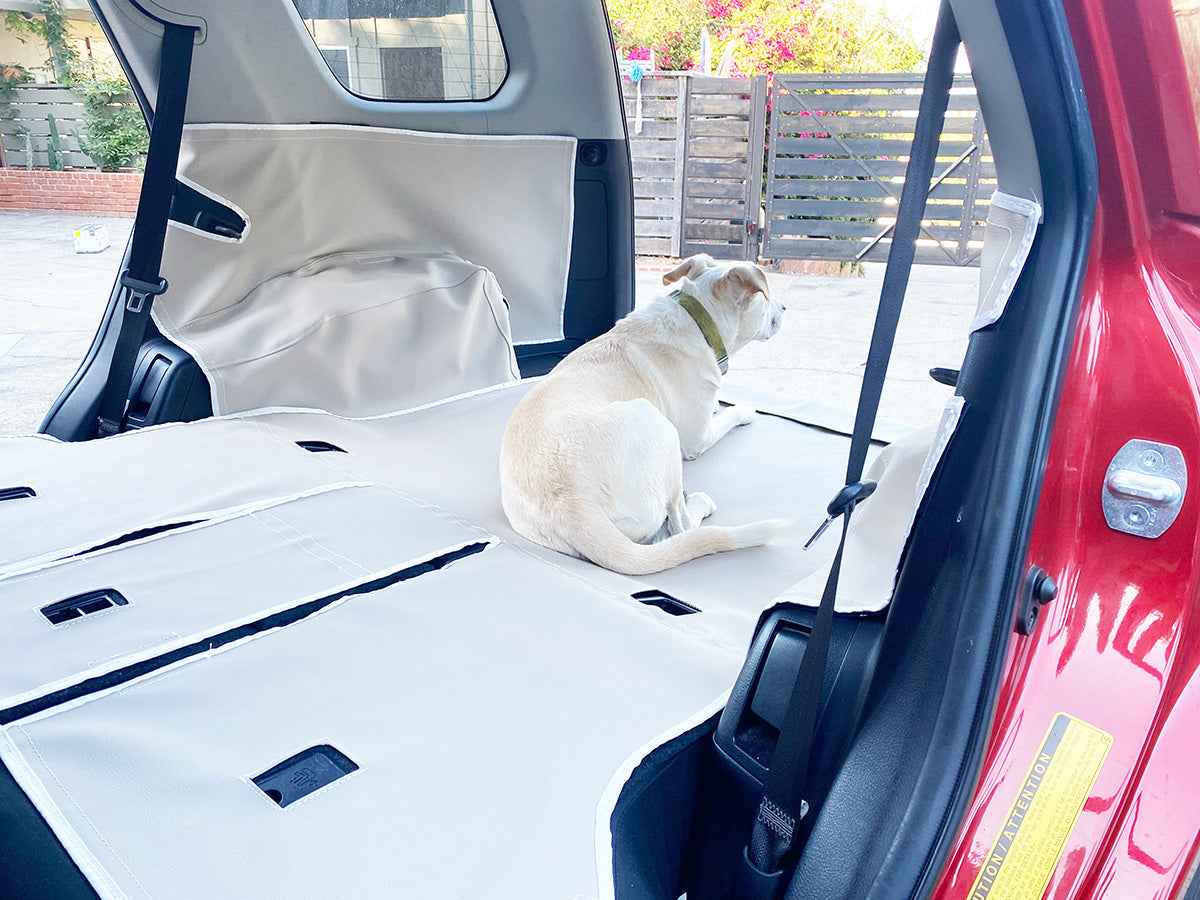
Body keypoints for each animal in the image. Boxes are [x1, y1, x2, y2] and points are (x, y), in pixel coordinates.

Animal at [496, 254, 787, 578]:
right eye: (765, 300)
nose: (784, 308)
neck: (698, 318)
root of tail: (571, 505)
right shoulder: (697, 439)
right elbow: (727, 416)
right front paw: (744, 409)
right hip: (660, 428)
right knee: (681, 525)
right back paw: (697, 502)